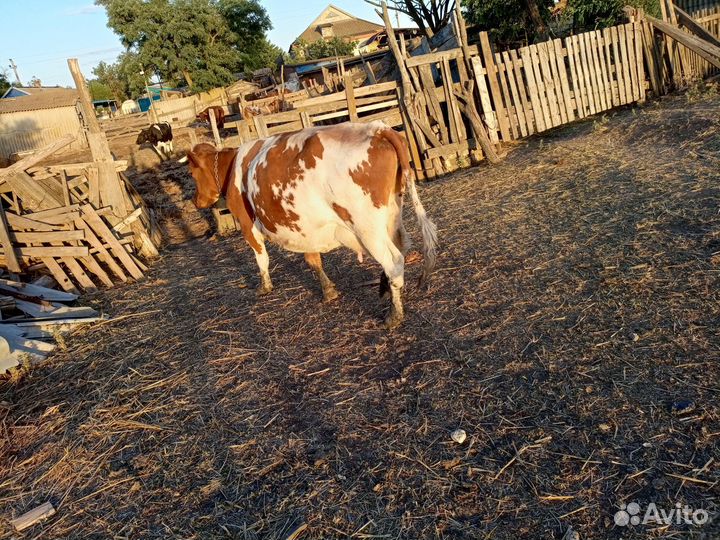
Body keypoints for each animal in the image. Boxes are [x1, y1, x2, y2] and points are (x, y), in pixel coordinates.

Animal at [182, 121, 437, 328]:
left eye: (192, 173)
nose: (196, 200)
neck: (234, 168)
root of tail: (376, 128)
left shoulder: (248, 226)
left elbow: (261, 258)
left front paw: (264, 286)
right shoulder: (304, 227)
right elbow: (312, 259)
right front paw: (328, 290)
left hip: (367, 228)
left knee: (394, 261)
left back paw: (394, 315)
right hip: (392, 215)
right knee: (402, 246)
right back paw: (384, 287)